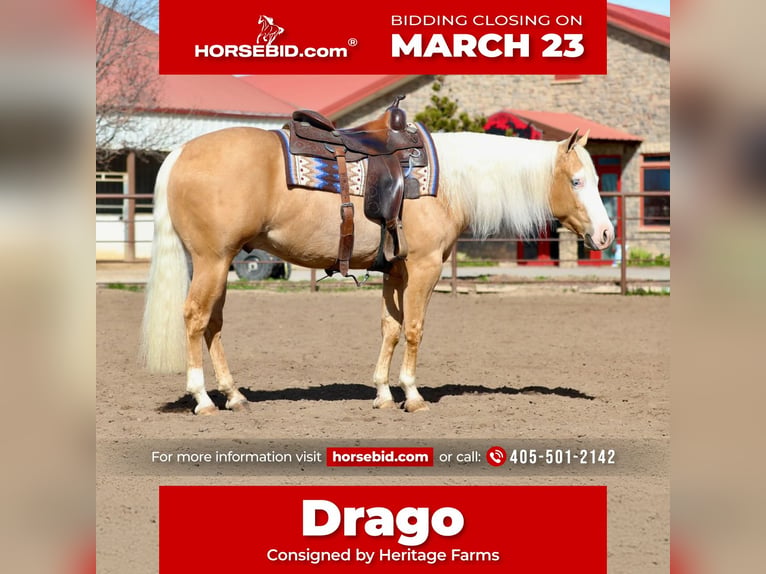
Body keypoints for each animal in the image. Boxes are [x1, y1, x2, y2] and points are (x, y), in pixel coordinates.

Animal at [140, 126, 614, 415]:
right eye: (577, 181)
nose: (607, 235)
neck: (443, 184)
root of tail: (181, 152)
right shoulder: (423, 267)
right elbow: (415, 328)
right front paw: (413, 394)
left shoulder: (395, 271)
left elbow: (390, 327)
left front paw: (384, 393)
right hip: (212, 261)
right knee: (195, 318)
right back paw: (203, 399)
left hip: (216, 265)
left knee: (213, 324)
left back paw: (234, 395)